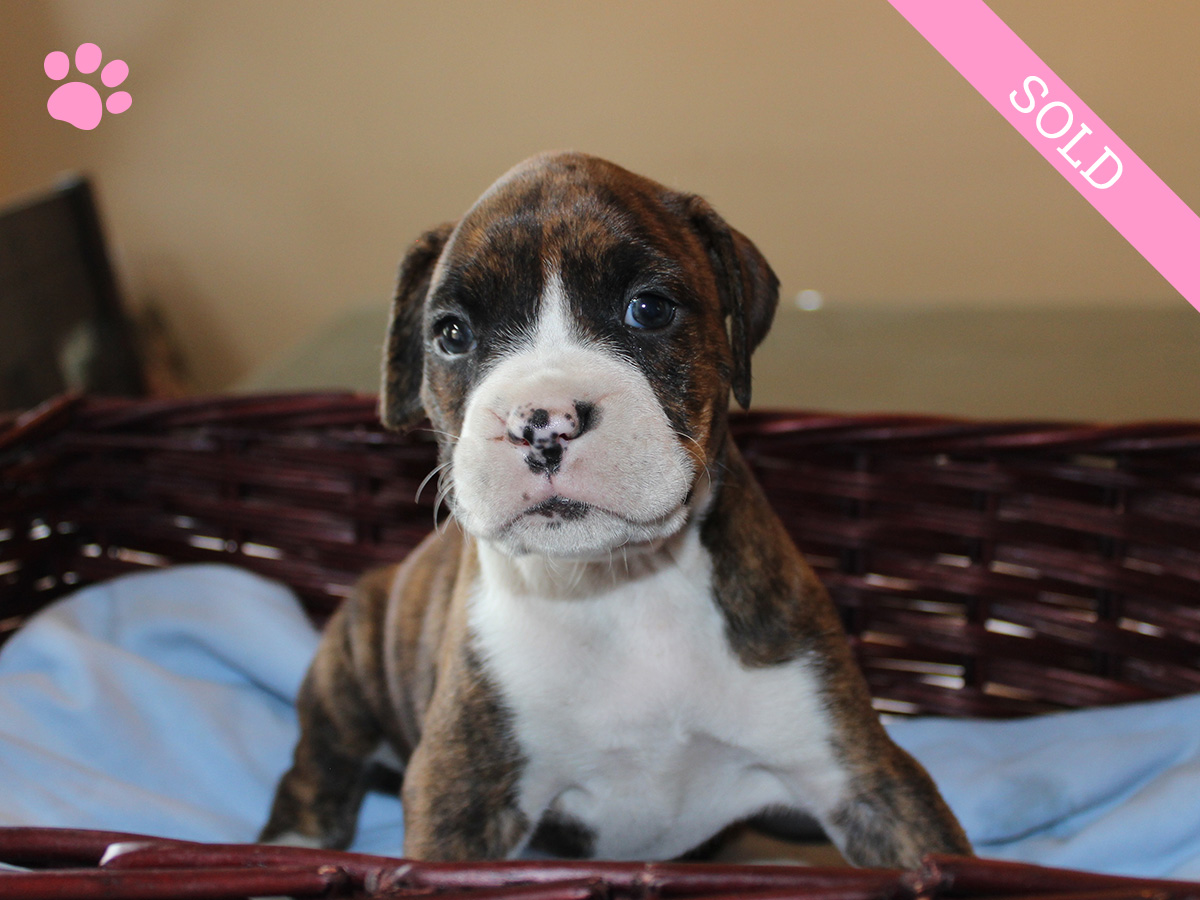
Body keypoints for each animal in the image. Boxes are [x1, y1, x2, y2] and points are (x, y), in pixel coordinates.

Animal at [258, 153, 969, 868]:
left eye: (648, 309)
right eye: (452, 334)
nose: (541, 422)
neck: (621, 584)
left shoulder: (867, 778)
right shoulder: (460, 796)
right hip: (348, 666)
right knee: (316, 767)